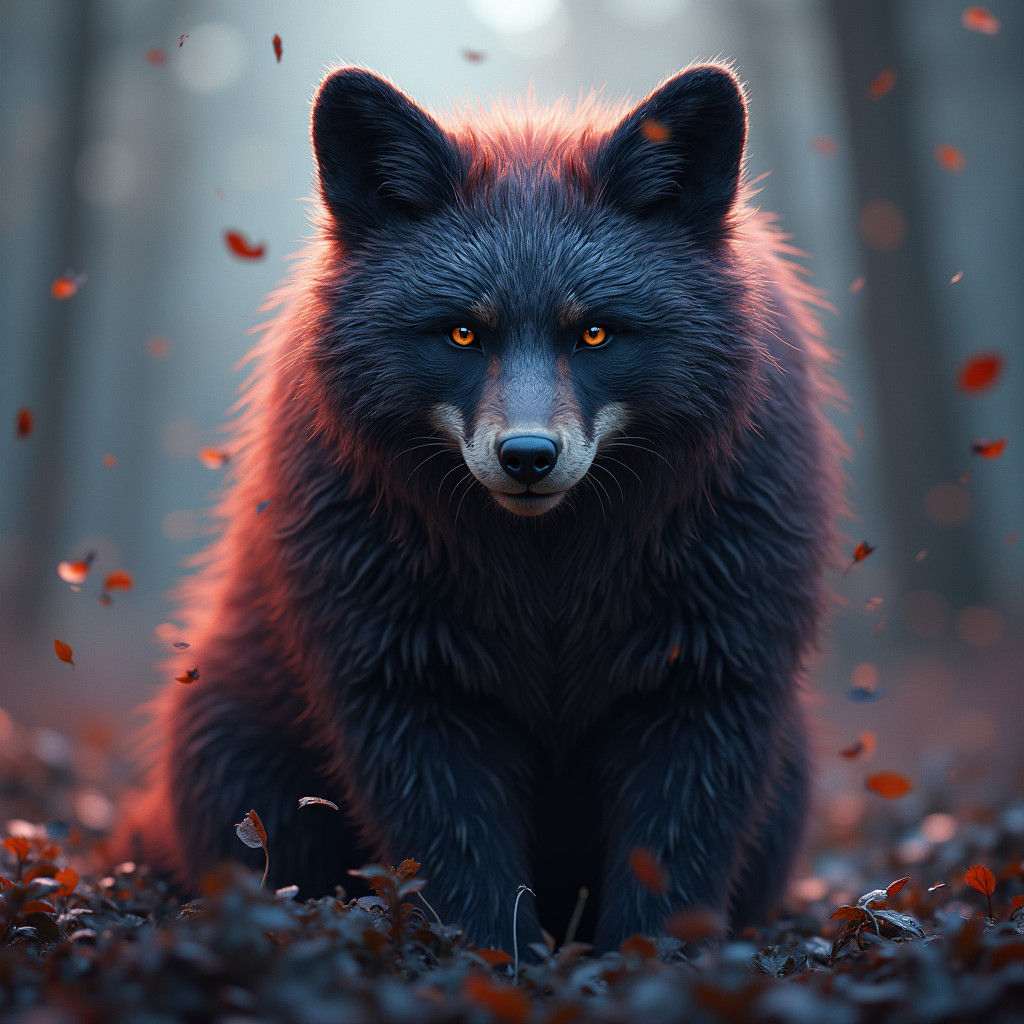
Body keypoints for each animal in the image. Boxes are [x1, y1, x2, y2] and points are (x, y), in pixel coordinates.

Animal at [118, 62, 843, 953]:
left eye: (595, 334)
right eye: (462, 334)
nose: (528, 457)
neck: (549, 579)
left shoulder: (706, 678)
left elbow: (670, 867)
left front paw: (645, 966)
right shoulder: (410, 683)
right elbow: (464, 874)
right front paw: (497, 967)